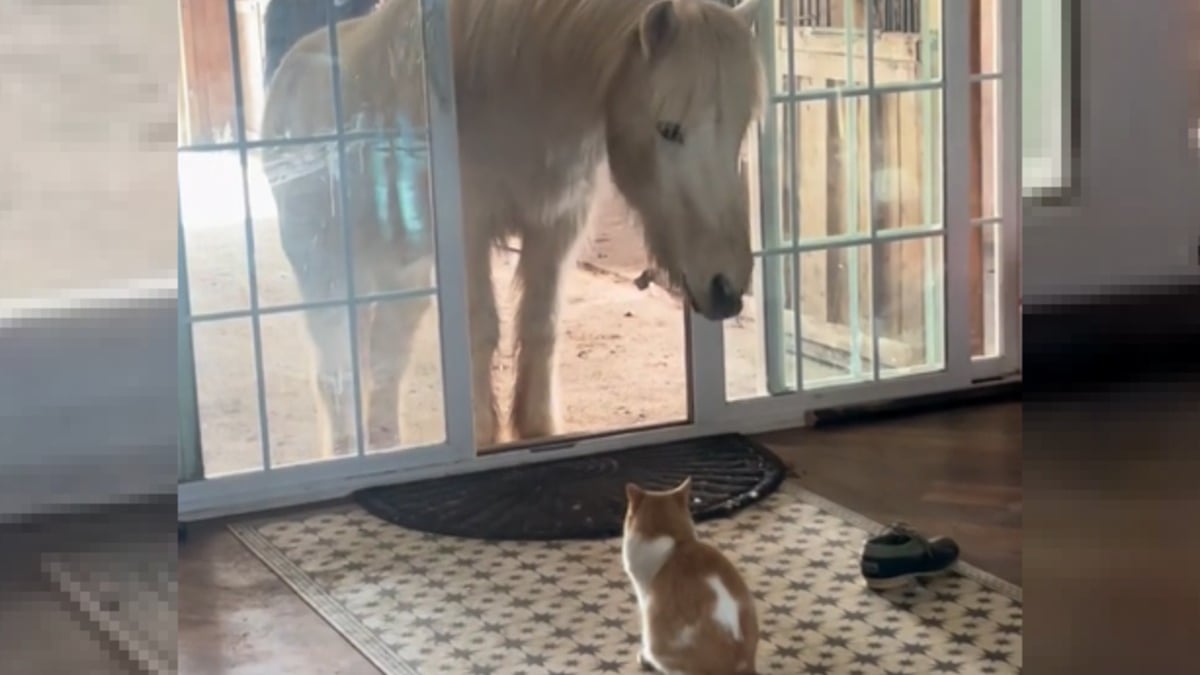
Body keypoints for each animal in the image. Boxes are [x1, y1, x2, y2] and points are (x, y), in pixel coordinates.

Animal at [261, 0, 766, 456]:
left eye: (740, 129)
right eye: (668, 128)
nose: (725, 288)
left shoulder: (556, 224)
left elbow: (541, 325)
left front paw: (536, 427)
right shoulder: (469, 232)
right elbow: (481, 328)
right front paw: (483, 434)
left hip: (397, 277)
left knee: (384, 357)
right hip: (322, 269)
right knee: (334, 362)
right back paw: (346, 450)